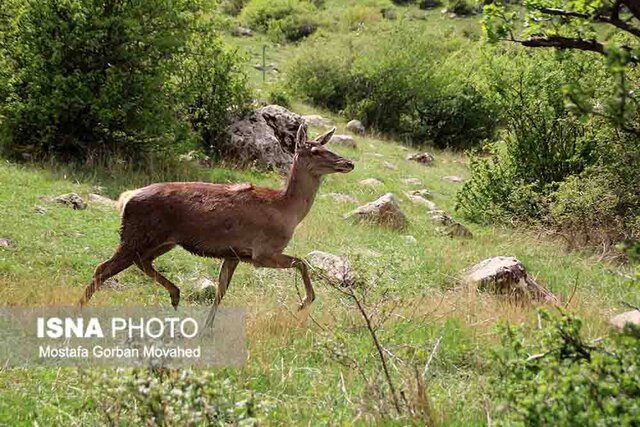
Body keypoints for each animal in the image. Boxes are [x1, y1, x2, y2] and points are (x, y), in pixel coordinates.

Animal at [78, 125, 356, 326]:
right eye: (315, 150)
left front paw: (207, 329)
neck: (287, 210)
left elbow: (221, 291)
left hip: (162, 241)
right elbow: (302, 261)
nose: (348, 163)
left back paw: (175, 294)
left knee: (140, 262)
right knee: (103, 269)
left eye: (327, 146)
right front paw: (305, 301)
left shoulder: (234, 254)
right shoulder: (262, 252)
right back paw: (81, 311)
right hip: (137, 235)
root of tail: (125, 198)